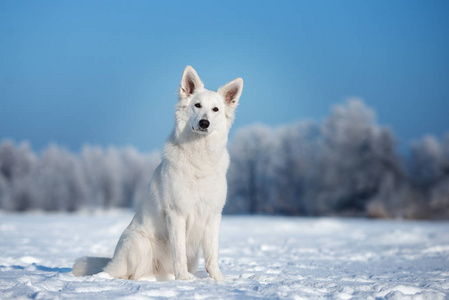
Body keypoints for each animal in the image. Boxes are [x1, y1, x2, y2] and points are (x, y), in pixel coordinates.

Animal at [72, 66, 242, 282]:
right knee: (129, 275)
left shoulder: (213, 216)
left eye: (215, 109)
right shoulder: (177, 215)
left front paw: (218, 280)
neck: (199, 158)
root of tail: (112, 262)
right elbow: (179, 252)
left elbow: (212, 255)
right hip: (140, 243)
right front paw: (183, 280)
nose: (204, 123)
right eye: (197, 105)